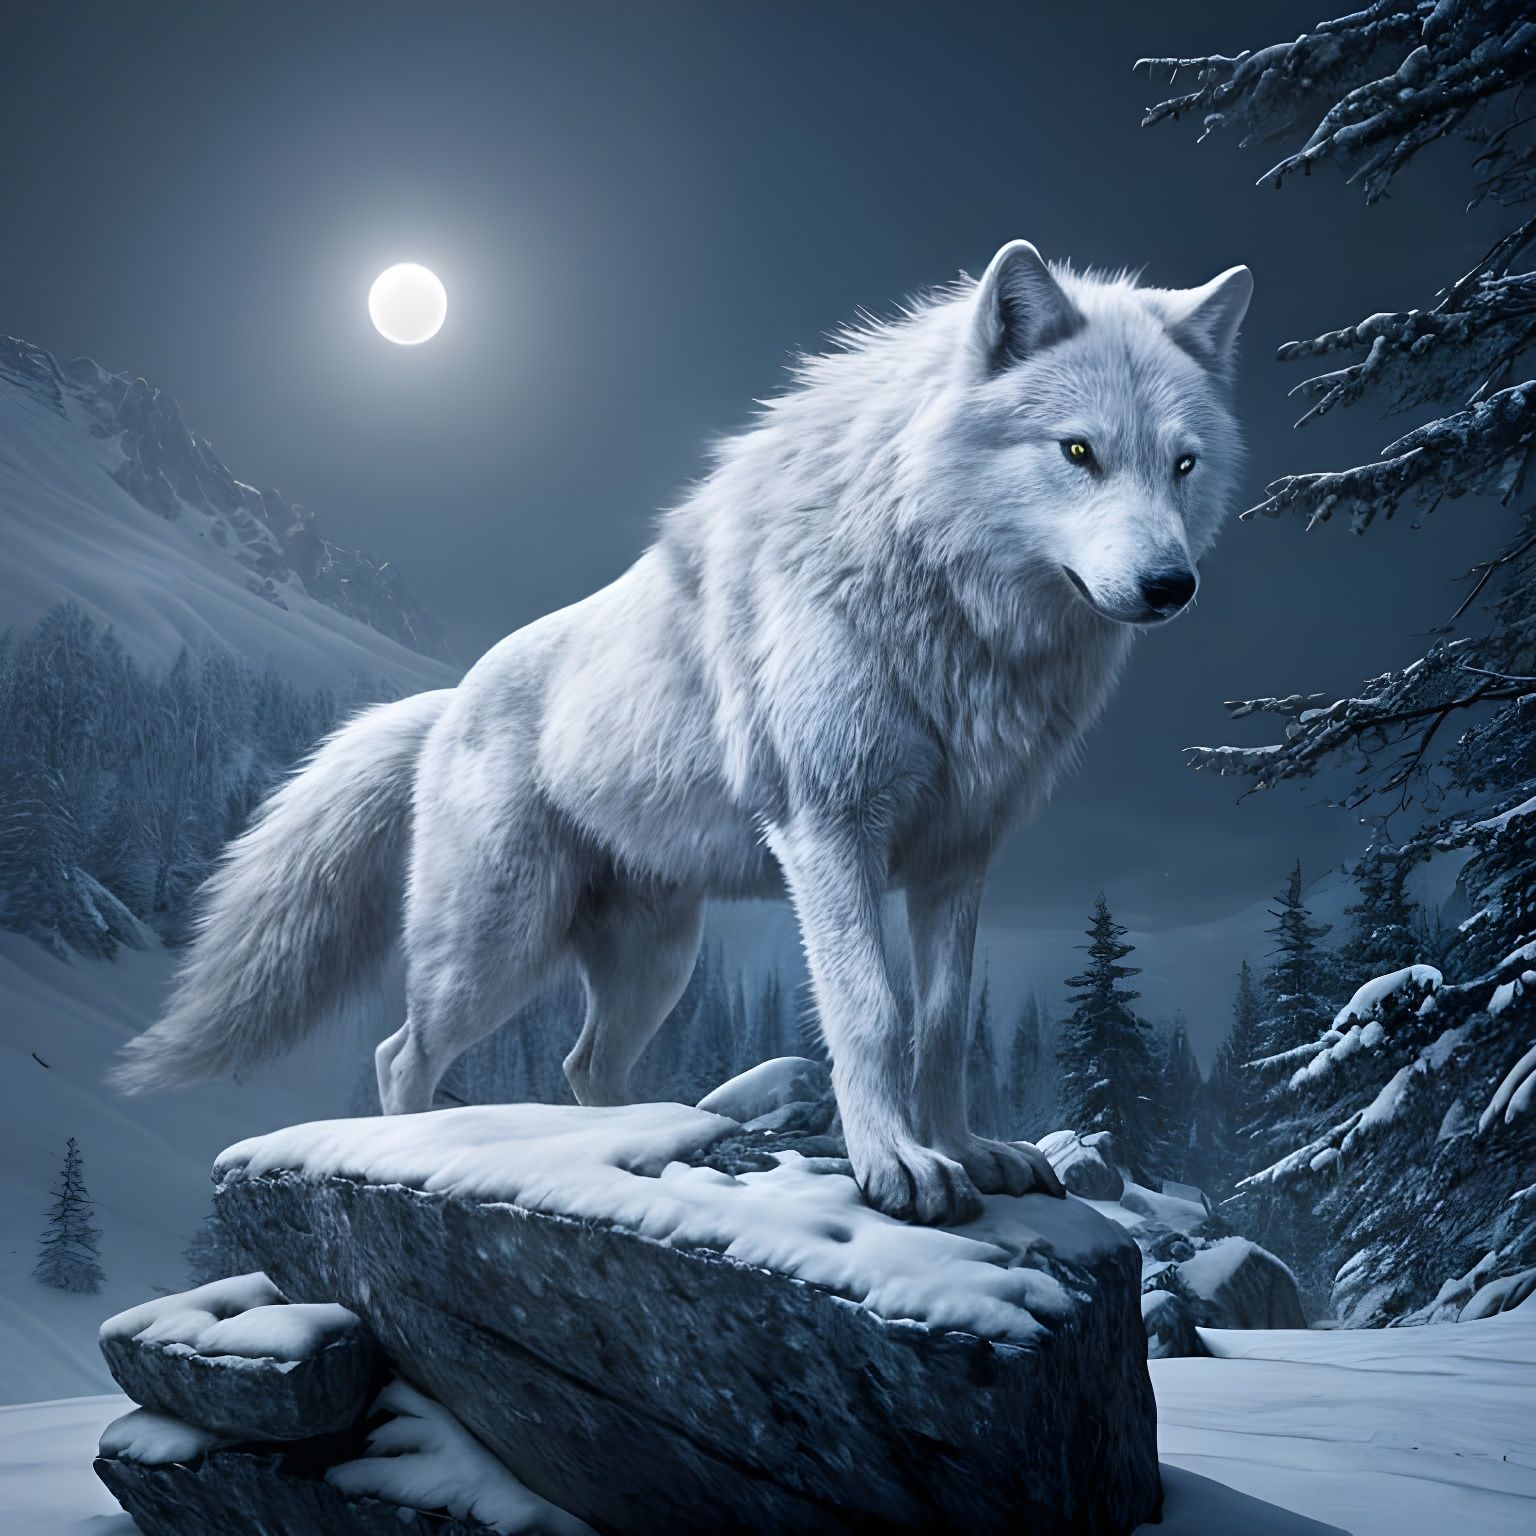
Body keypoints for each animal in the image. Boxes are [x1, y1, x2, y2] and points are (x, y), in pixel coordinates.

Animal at [115, 241, 1251, 1225]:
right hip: (496, 947)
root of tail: (446, 701)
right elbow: (872, 1015)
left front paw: (967, 1152)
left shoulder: (959, 860)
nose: (1172, 586)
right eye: (1079, 452)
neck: (951, 614)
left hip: (659, 962)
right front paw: (897, 1166)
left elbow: (940, 1026)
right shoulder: (830, 834)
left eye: (1183, 464)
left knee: (584, 1066)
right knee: (405, 1053)